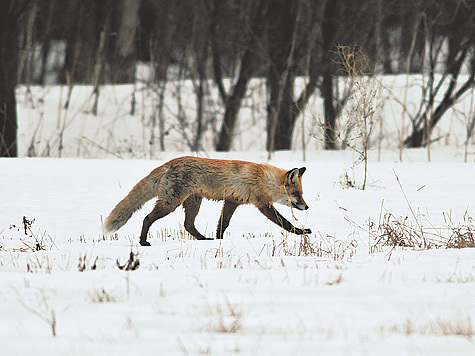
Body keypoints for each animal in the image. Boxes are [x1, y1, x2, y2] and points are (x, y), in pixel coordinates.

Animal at [104, 157, 312, 246]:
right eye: (297, 194)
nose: (307, 206)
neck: (263, 179)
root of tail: (168, 163)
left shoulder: (232, 201)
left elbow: (223, 224)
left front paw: (219, 240)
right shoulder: (263, 204)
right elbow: (284, 222)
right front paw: (301, 232)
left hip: (193, 203)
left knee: (188, 225)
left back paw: (203, 239)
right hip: (170, 203)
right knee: (147, 218)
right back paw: (143, 242)